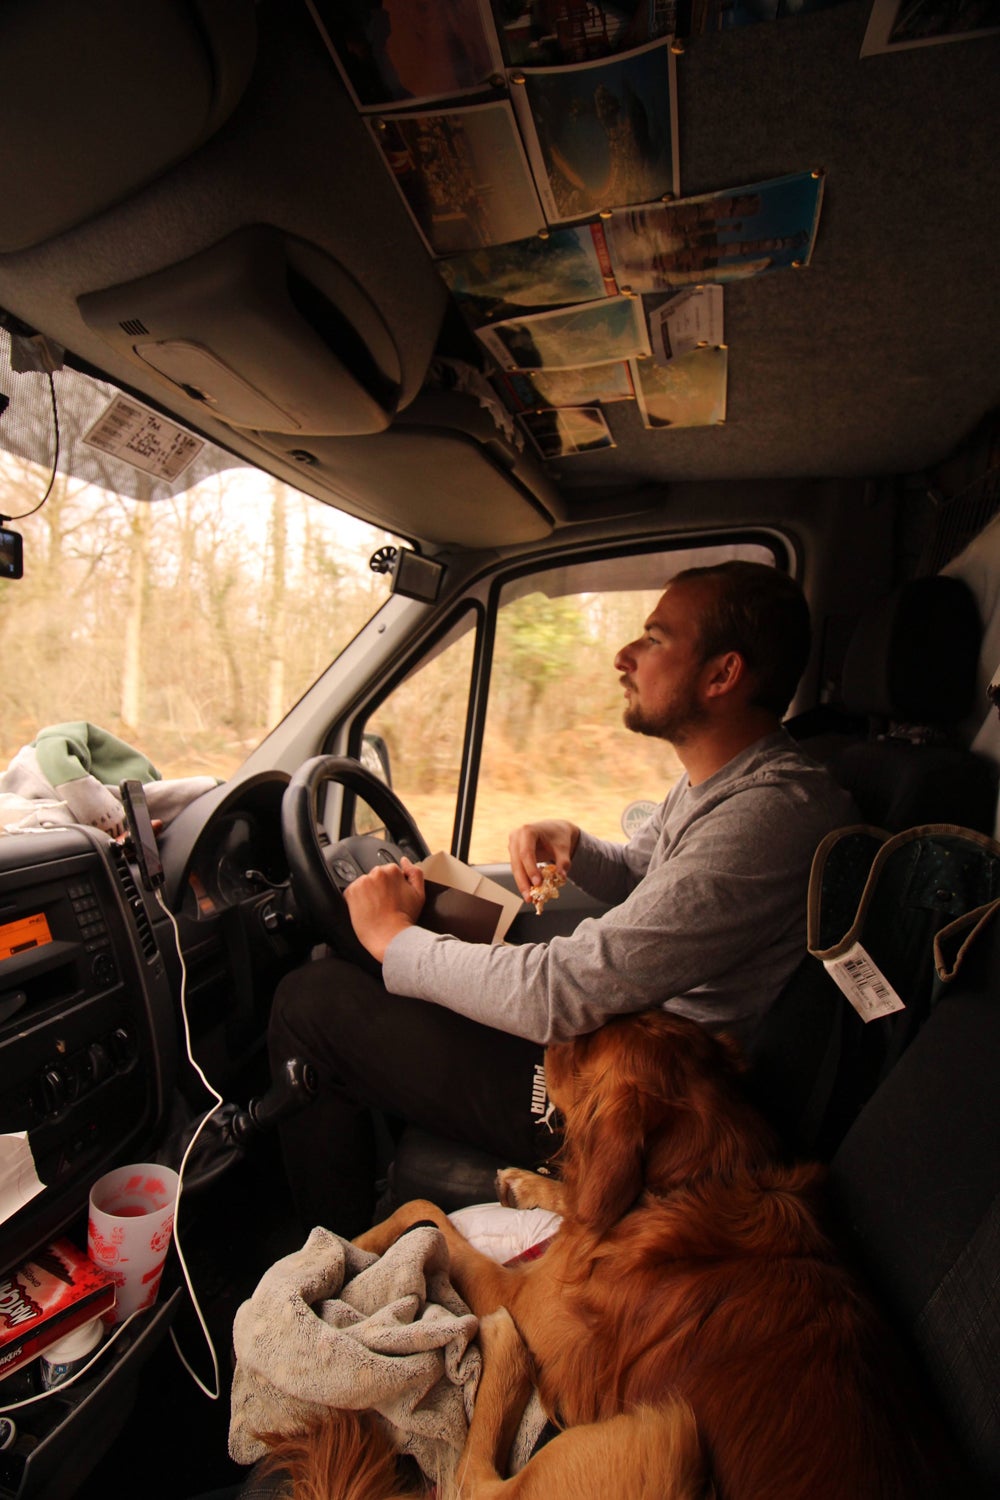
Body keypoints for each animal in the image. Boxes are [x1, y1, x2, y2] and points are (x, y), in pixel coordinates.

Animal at [262, 1008, 959, 1500]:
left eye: (586, 1048)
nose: (550, 1033)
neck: (701, 1179)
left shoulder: (526, 1296)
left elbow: (422, 1209)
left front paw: (360, 1240)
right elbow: (581, 1200)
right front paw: (532, 1185)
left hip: (663, 1440)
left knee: (477, 1482)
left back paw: (506, 1353)